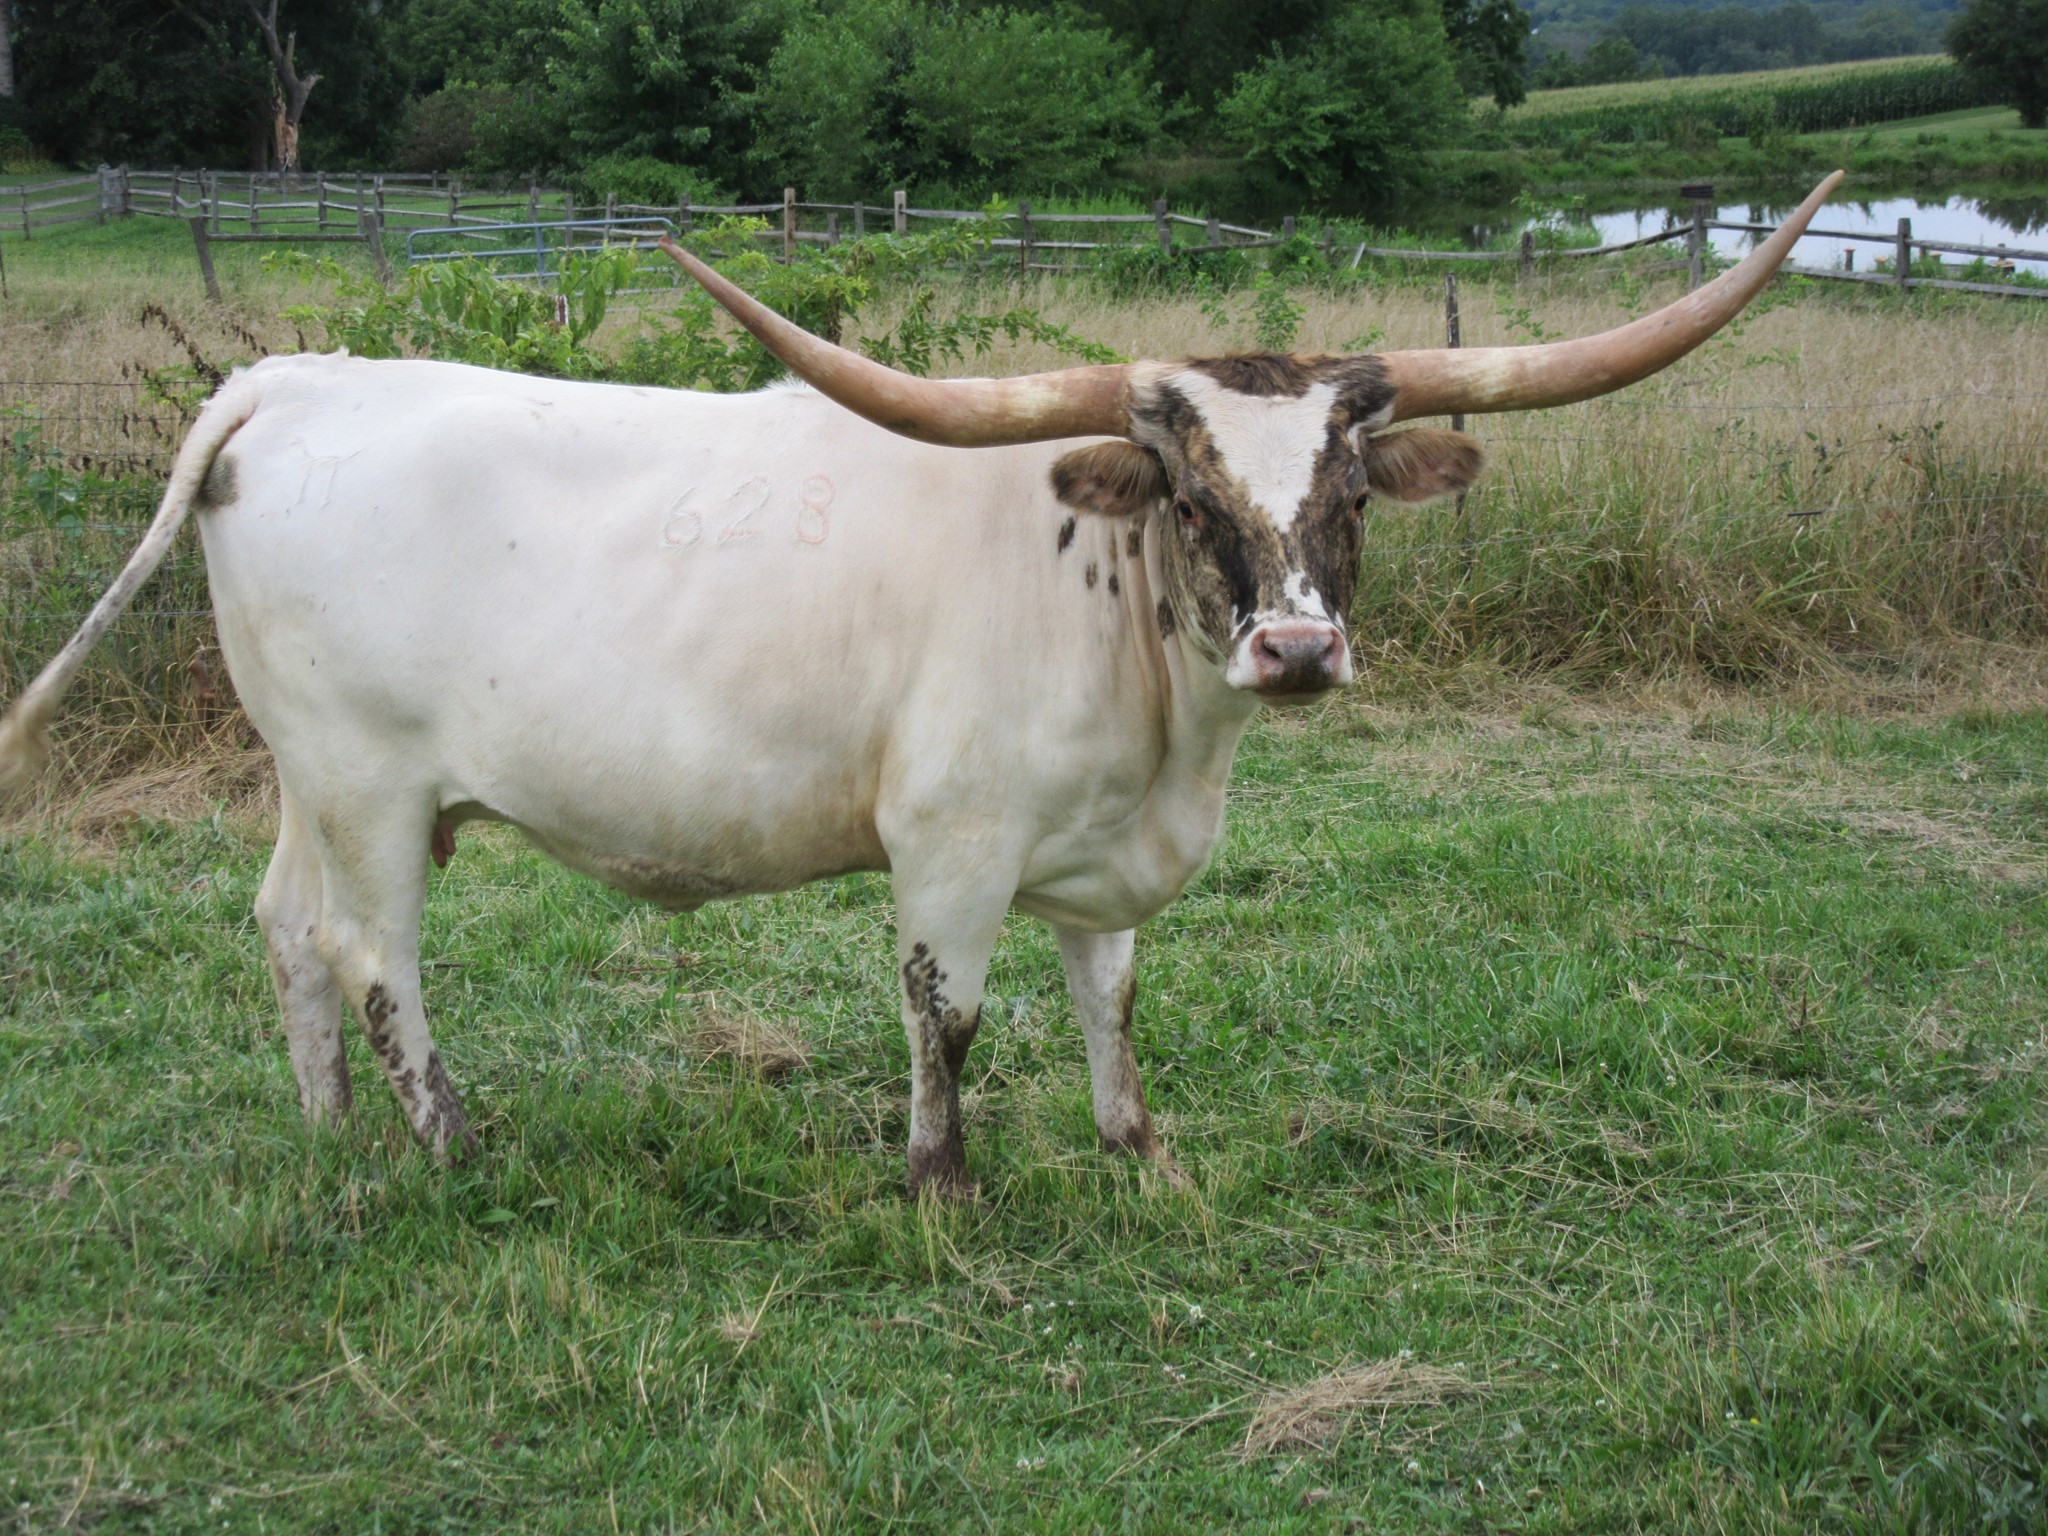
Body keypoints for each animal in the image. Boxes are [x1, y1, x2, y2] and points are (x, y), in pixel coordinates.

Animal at [0, 175, 1843, 1197]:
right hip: (372, 783)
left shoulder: (1100, 860)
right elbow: (944, 1010)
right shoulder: (950, 841)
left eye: (1350, 490)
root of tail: (295, 382)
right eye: (1188, 494)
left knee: (286, 930)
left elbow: (1112, 997)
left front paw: (1138, 1152)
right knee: (377, 960)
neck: (1159, 718)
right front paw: (943, 1184)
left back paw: (328, 1139)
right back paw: (454, 1150)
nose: (1299, 648)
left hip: (307, 779)